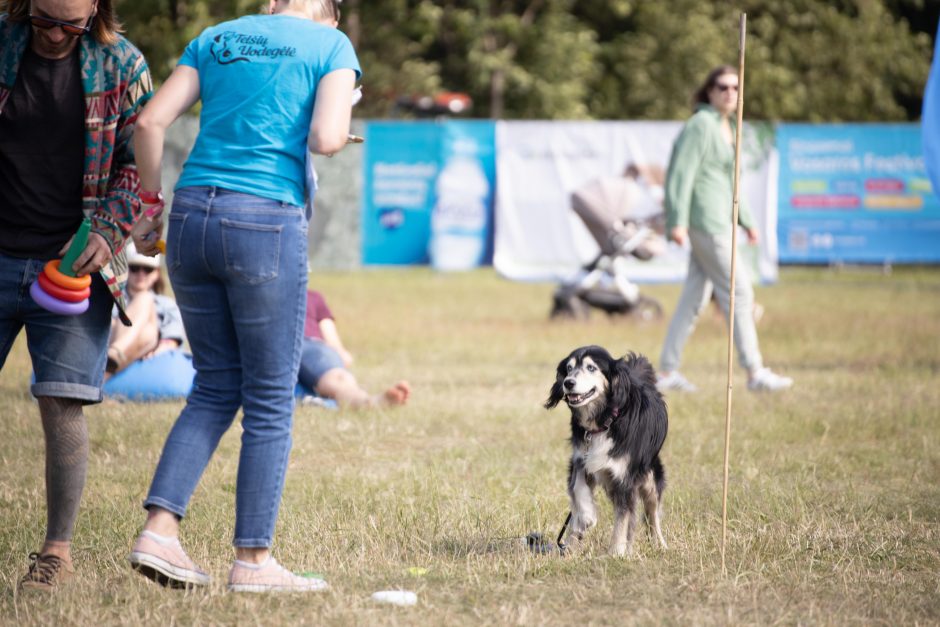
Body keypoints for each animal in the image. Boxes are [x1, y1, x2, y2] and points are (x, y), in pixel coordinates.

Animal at [544, 346, 668, 556]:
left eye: (591, 368)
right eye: (568, 368)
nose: (568, 383)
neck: (604, 421)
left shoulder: (625, 478)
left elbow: (623, 518)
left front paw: (616, 552)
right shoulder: (581, 460)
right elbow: (578, 491)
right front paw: (586, 516)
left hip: (651, 476)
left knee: (653, 514)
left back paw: (660, 544)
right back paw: (570, 543)